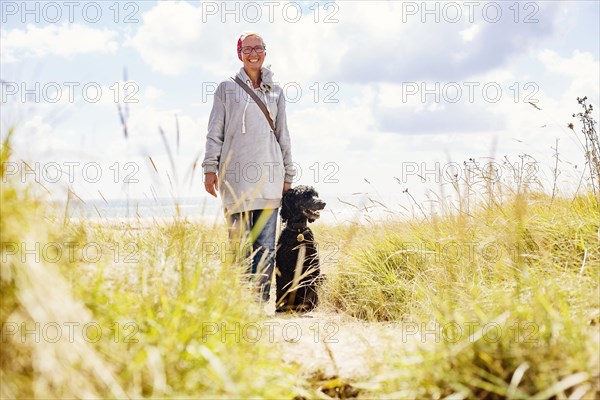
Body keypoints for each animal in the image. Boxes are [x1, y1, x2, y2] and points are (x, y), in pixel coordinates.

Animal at [278, 184, 328, 312]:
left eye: (316, 195)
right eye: (305, 195)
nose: (323, 203)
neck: (298, 232)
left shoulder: (312, 266)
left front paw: (310, 304)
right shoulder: (283, 266)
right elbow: (282, 287)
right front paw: (279, 305)